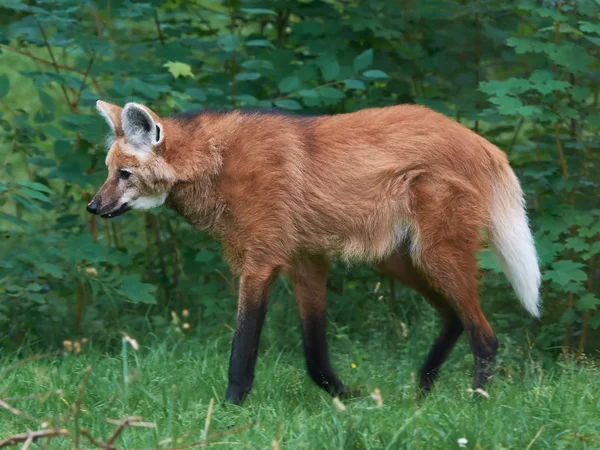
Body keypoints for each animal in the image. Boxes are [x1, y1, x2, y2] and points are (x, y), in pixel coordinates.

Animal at [89, 101, 544, 404]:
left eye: (124, 174)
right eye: (109, 173)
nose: (93, 207)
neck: (213, 165)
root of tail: (482, 143)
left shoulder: (261, 262)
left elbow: (243, 346)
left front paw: (229, 408)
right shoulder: (303, 261)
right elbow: (315, 354)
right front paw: (348, 397)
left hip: (434, 254)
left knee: (485, 336)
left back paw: (476, 402)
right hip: (399, 257)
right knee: (453, 316)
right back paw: (422, 391)